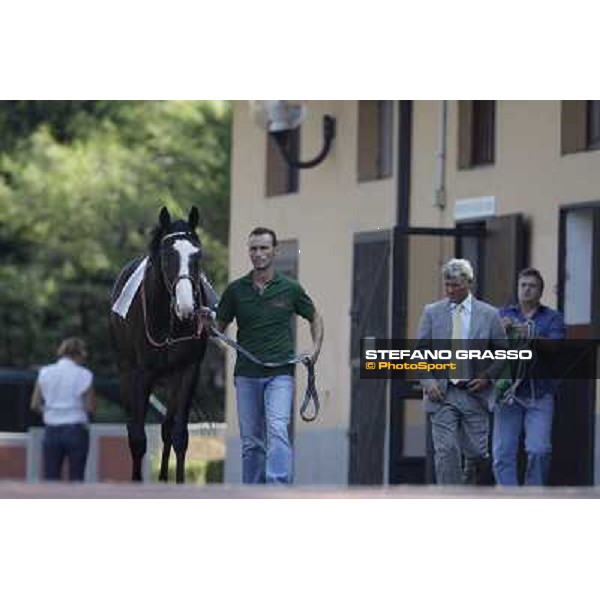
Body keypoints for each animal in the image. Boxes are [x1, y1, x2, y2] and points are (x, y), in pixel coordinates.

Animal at [110, 206, 218, 482]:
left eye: (197, 255)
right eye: (168, 255)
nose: (186, 307)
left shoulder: (188, 371)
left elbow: (179, 434)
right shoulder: (142, 374)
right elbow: (137, 437)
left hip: (171, 379)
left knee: (167, 428)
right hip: (125, 370)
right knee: (133, 428)